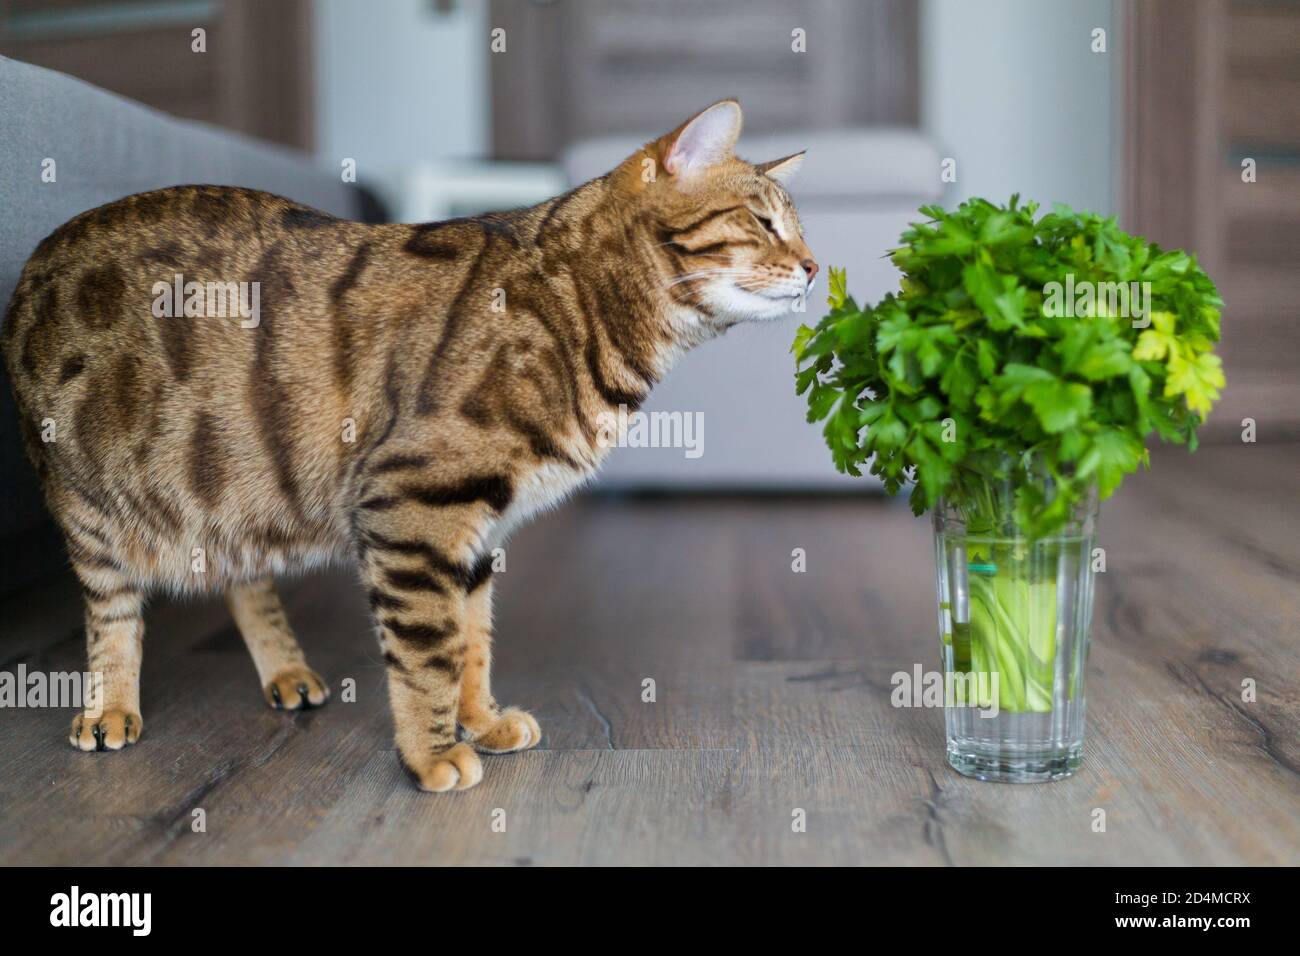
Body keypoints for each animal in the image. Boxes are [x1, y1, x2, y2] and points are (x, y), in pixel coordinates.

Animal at [0, 102, 816, 790]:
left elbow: (472, 640)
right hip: (91, 503)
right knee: (112, 609)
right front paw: (431, 755)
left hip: (228, 485)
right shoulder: (413, 503)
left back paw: (286, 672)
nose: (812, 266)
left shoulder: (476, 528)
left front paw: (479, 721)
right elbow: (429, 650)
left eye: (796, 227)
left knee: (244, 575)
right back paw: (109, 707)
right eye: (764, 221)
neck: (585, 307)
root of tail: (34, 263)